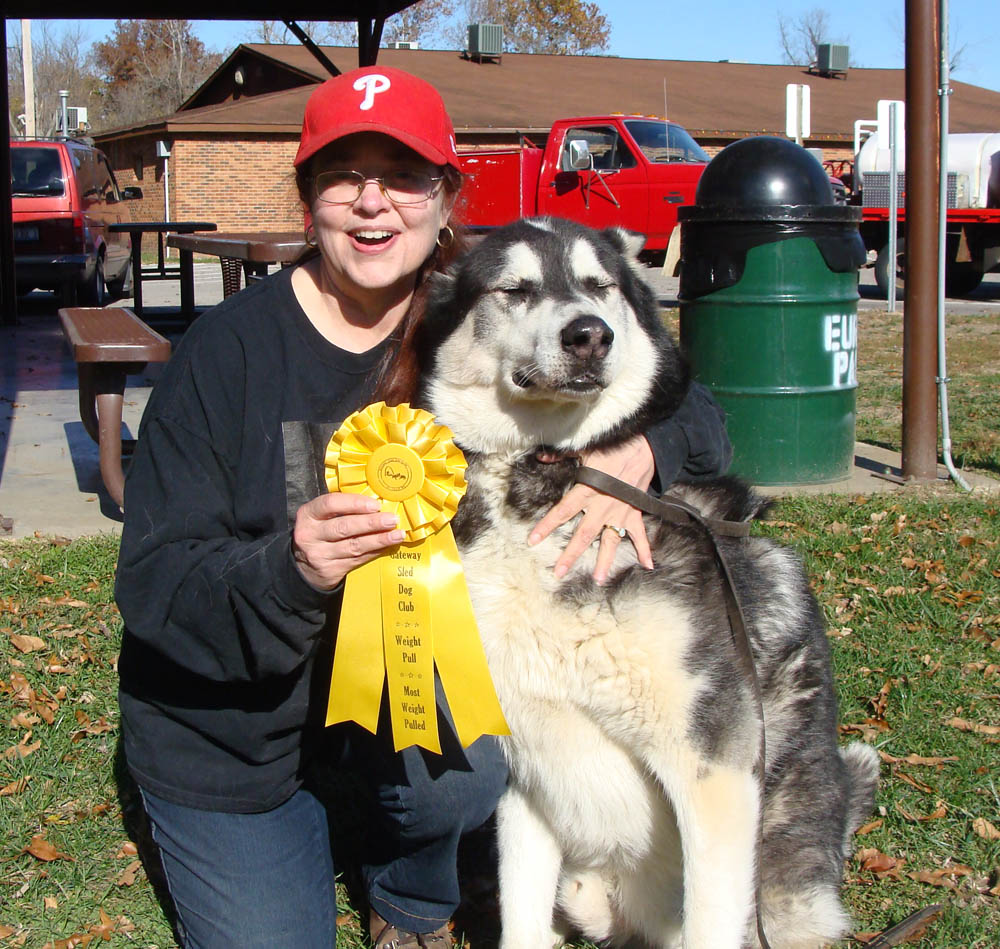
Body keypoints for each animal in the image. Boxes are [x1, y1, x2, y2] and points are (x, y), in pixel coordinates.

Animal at [414, 218, 876, 948]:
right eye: (514, 289)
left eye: (598, 285)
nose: (589, 334)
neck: (548, 474)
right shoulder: (526, 777)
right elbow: (521, 916)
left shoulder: (714, 770)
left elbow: (712, 922)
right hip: (582, 889)